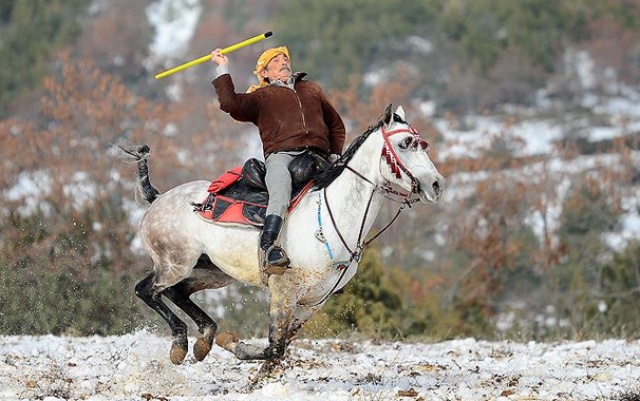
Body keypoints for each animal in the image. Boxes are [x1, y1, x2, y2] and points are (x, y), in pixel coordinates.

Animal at [124, 104, 444, 378]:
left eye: (422, 144)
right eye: (404, 144)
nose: (437, 185)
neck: (329, 216)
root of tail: (158, 198)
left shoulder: (313, 302)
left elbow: (281, 349)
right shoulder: (283, 289)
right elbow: (275, 346)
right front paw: (234, 344)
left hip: (213, 272)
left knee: (177, 292)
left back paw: (204, 340)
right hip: (175, 263)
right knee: (147, 290)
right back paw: (180, 344)